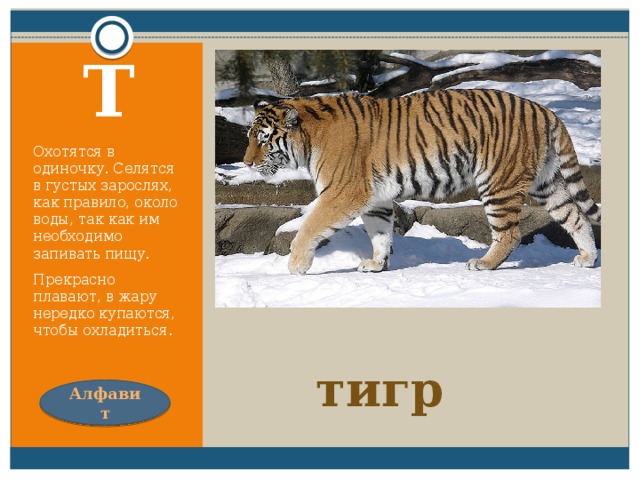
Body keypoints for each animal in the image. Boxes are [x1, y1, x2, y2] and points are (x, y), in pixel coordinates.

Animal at [243, 89, 601, 275]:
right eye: (249, 138)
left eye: (263, 140)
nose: (246, 162)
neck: (309, 138)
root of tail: (543, 109)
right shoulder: (376, 199)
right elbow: (380, 233)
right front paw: (376, 264)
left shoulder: (343, 192)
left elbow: (310, 226)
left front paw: (296, 264)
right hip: (545, 182)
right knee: (575, 216)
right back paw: (587, 259)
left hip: (498, 181)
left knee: (510, 233)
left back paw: (484, 263)